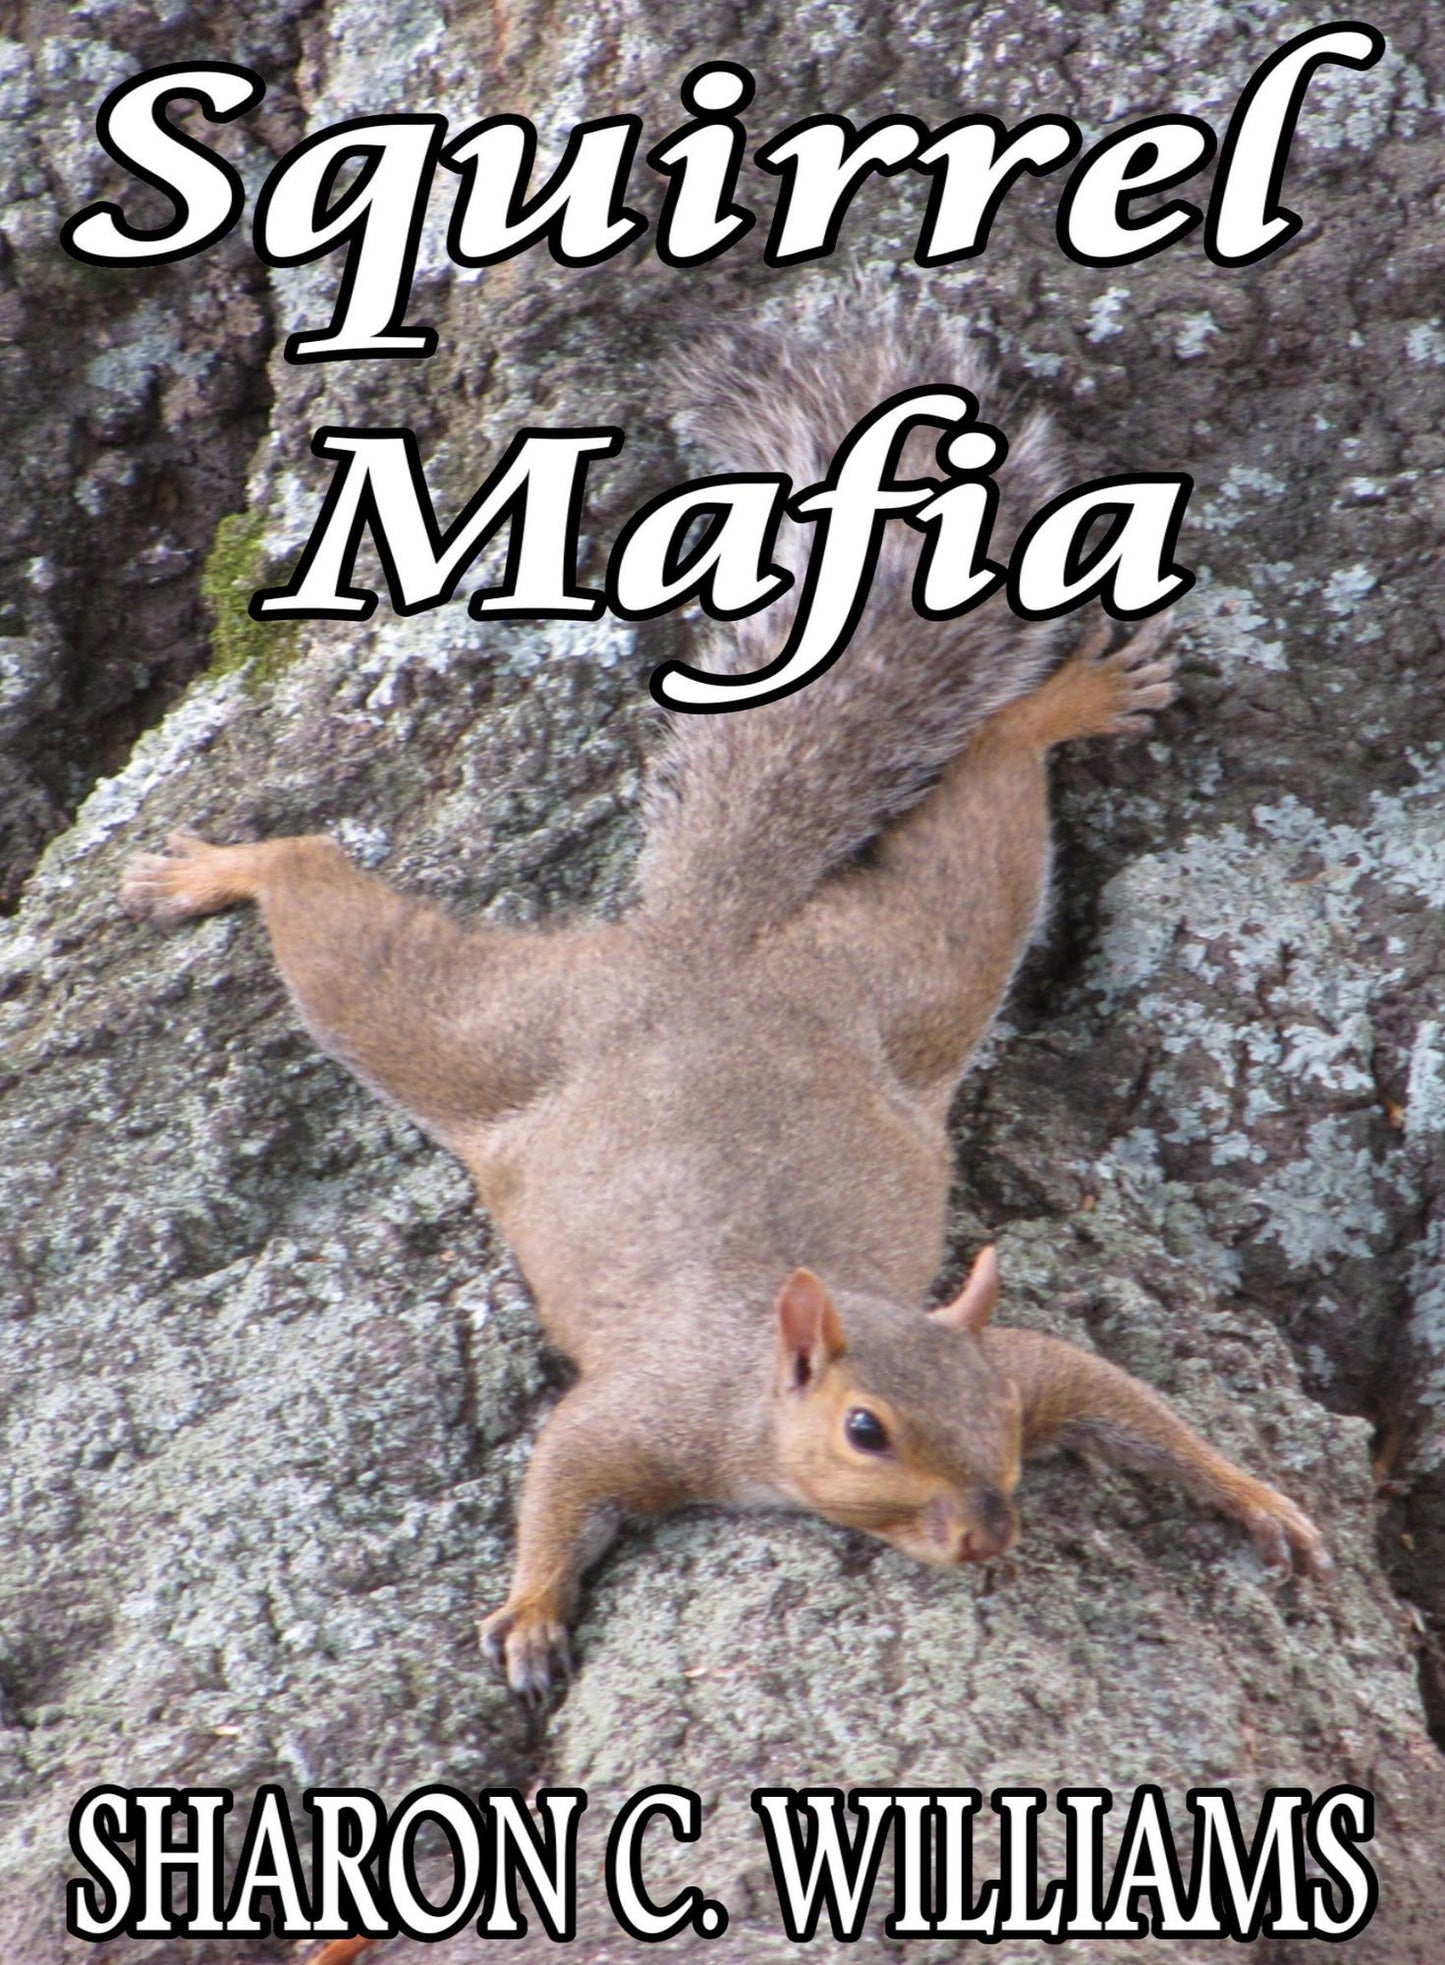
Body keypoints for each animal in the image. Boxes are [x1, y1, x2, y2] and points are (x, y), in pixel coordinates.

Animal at [121, 295, 1327, 1700]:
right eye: (863, 1430)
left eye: (991, 1418)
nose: (985, 1535)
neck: (764, 1384)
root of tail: (709, 931)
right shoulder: (649, 1410)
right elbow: (563, 1468)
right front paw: (531, 1608)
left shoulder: (1012, 1360)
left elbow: (1114, 1392)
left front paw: (1250, 1494)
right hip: (485, 1025)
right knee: (317, 895)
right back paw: (218, 871)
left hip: (907, 972)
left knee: (992, 780)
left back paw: (1064, 703)